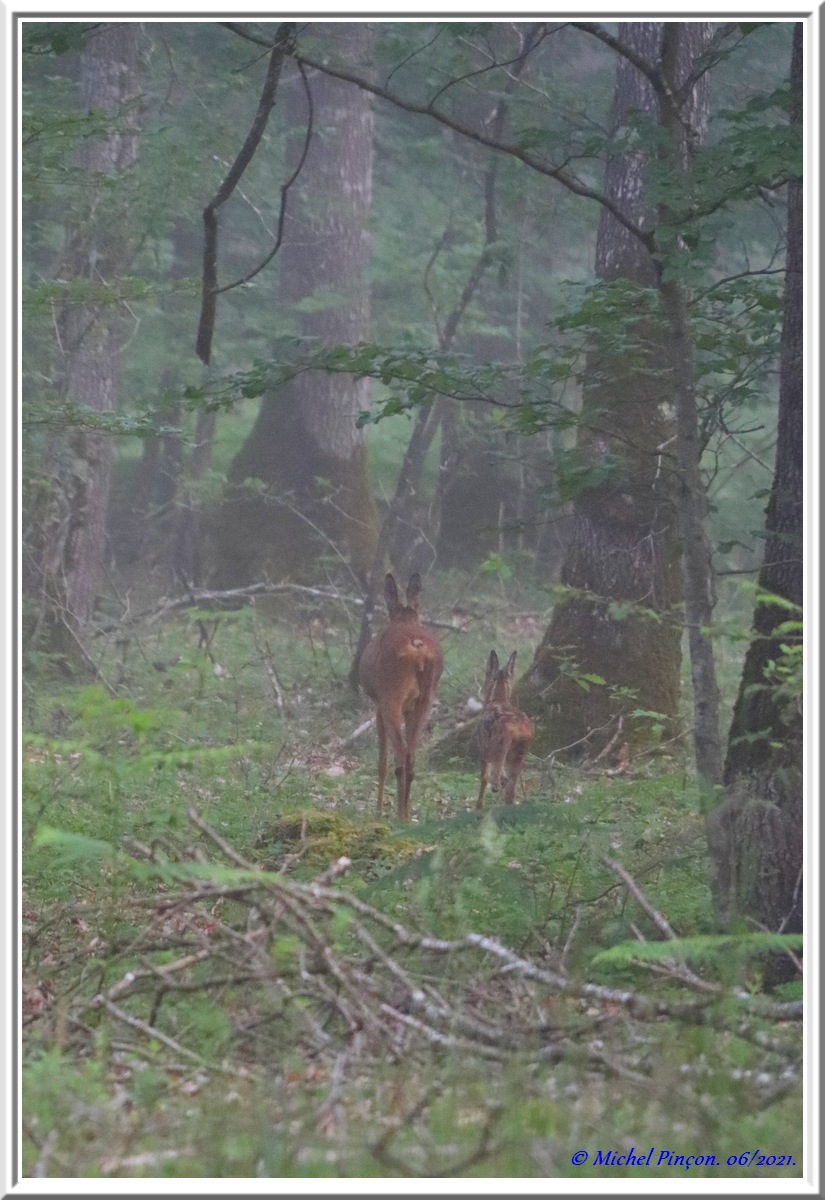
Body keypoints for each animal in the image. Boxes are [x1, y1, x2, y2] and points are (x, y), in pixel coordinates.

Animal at [357, 568, 441, 816]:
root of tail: (418, 649)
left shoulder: (377, 703)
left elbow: (381, 760)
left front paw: (377, 812)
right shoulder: (410, 707)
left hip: (391, 696)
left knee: (401, 754)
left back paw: (398, 814)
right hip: (426, 698)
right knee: (412, 755)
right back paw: (404, 813)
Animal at [477, 652, 534, 811]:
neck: (498, 699)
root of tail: (517, 728)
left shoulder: (483, 748)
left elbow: (483, 778)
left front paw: (478, 806)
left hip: (498, 749)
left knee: (497, 780)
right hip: (519, 754)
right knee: (510, 787)